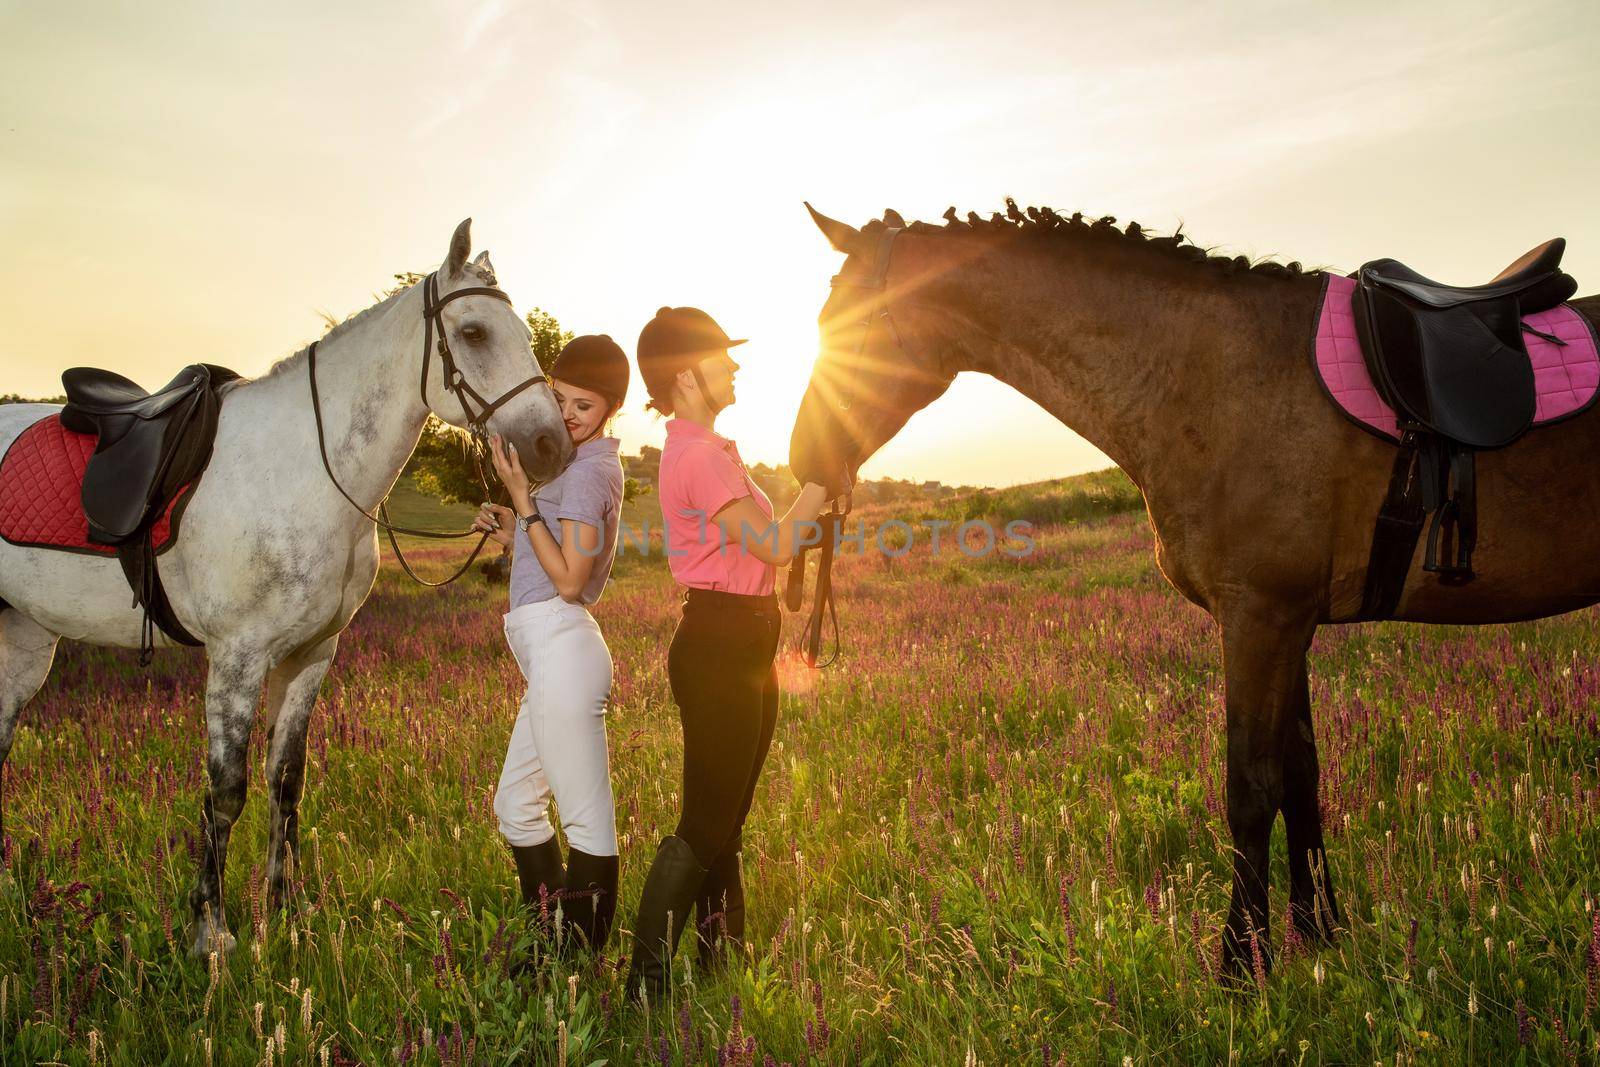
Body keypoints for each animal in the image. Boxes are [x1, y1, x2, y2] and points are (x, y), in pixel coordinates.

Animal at [0, 220, 572, 953]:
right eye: (472, 332)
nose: (551, 445)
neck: (307, 469)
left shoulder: (310, 656)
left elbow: (286, 781)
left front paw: (287, 912)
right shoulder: (237, 659)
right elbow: (226, 791)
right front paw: (212, 930)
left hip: (23, 640)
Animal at [787, 199, 1600, 979]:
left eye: (848, 328)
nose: (803, 460)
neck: (1207, 378)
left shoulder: (1260, 616)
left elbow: (1250, 790)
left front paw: (1241, 966)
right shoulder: (1288, 621)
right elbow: (1300, 777)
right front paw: (1319, 936)